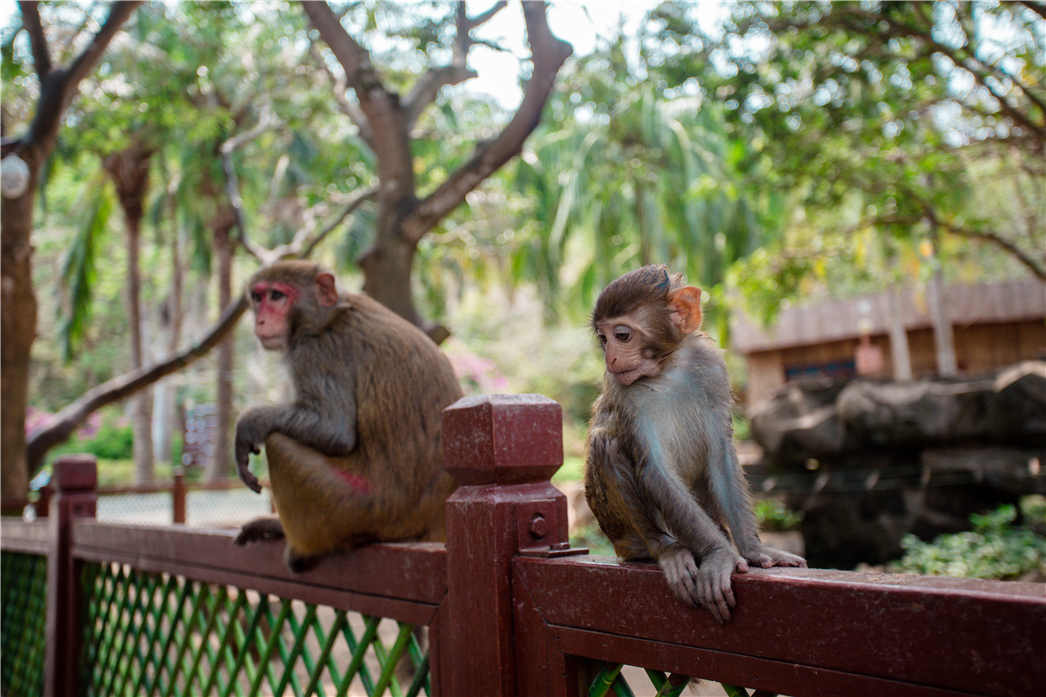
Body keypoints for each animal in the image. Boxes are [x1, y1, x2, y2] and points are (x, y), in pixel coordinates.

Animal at [233, 259, 462, 569]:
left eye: (277, 296)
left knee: (278, 443)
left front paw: (248, 424)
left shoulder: (316, 350)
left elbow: (334, 429)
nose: (259, 321)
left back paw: (303, 550)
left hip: (356, 508)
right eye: (258, 298)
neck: (331, 315)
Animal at [585, 263, 803, 619]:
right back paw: (668, 549)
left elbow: (721, 454)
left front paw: (754, 548)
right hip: (622, 535)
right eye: (603, 339)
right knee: (606, 444)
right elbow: (655, 468)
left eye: (621, 336)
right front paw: (719, 554)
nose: (610, 359)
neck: (668, 367)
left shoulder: (713, 370)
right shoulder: (622, 391)